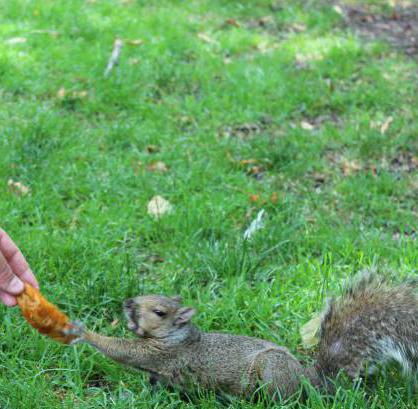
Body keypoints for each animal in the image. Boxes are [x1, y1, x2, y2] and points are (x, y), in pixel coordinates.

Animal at [65, 272, 418, 400]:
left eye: (159, 312)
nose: (127, 303)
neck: (177, 337)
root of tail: (310, 381)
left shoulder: (162, 354)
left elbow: (123, 351)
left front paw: (81, 330)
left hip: (271, 371)